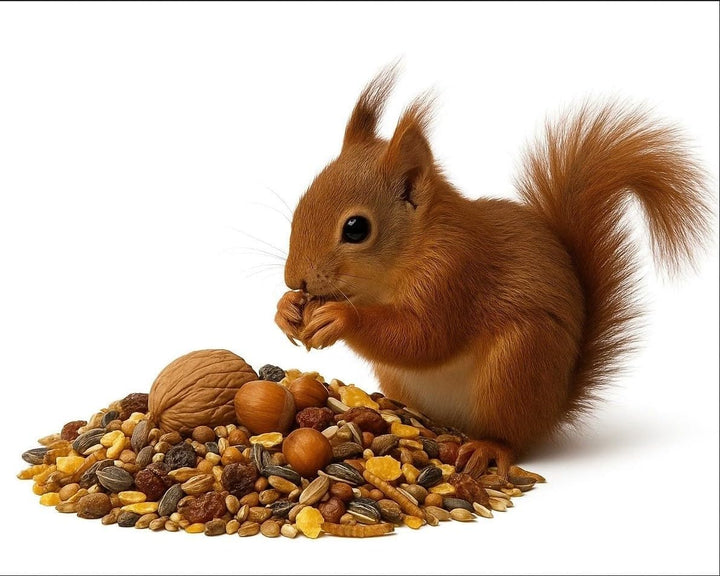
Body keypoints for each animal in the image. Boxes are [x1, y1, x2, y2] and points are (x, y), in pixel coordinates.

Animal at [274, 66, 712, 477]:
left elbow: (423, 338)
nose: (294, 279)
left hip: (517, 364)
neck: (414, 247)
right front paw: (286, 309)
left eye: (356, 228)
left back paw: (488, 448)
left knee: (510, 436)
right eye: (303, 200)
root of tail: (553, 408)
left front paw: (339, 318)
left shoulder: (455, 273)